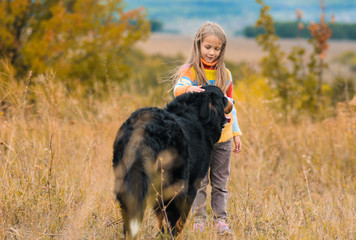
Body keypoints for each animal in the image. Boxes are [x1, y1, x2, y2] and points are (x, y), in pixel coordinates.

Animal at [112, 86, 232, 238]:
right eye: (223, 98)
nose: (233, 101)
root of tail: (143, 128)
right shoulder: (192, 183)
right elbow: (181, 214)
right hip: (175, 180)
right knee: (172, 213)